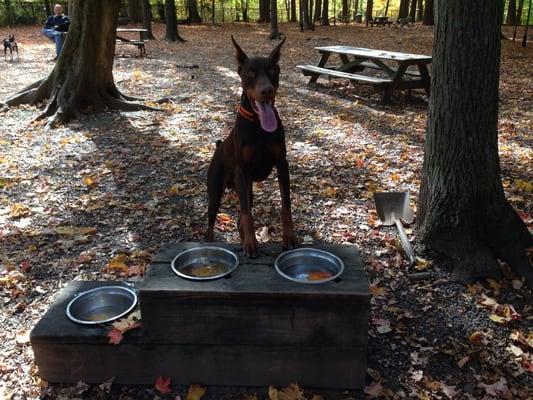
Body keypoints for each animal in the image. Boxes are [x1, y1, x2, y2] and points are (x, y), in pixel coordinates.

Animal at [207, 36, 298, 258]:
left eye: (273, 70)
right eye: (250, 73)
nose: (266, 90)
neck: (258, 125)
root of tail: (218, 148)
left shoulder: (282, 165)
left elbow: (286, 206)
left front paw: (289, 236)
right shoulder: (241, 170)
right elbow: (248, 215)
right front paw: (251, 243)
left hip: (246, 189)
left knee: (240, 217)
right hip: (217, 191)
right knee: (212, 224)